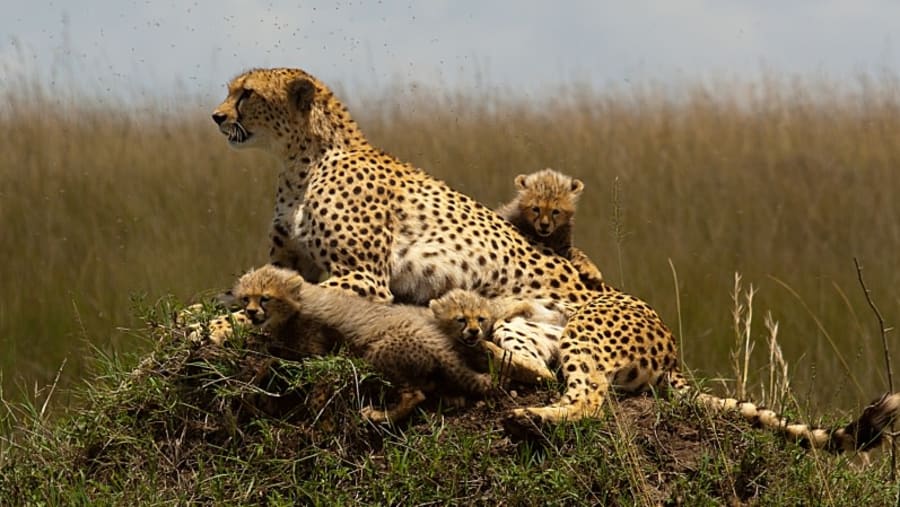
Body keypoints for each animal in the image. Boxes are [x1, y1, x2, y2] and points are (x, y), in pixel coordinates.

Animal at [230, 264, 497, 423]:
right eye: (246, 298)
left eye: (265, 298)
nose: (251, 312)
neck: (298, 305)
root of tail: (437, 340)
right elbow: (274, 360)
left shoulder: (321, 354)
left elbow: (319, 384)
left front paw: (317, 412)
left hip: (378, 354)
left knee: (415, 394)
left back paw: (380, 416)